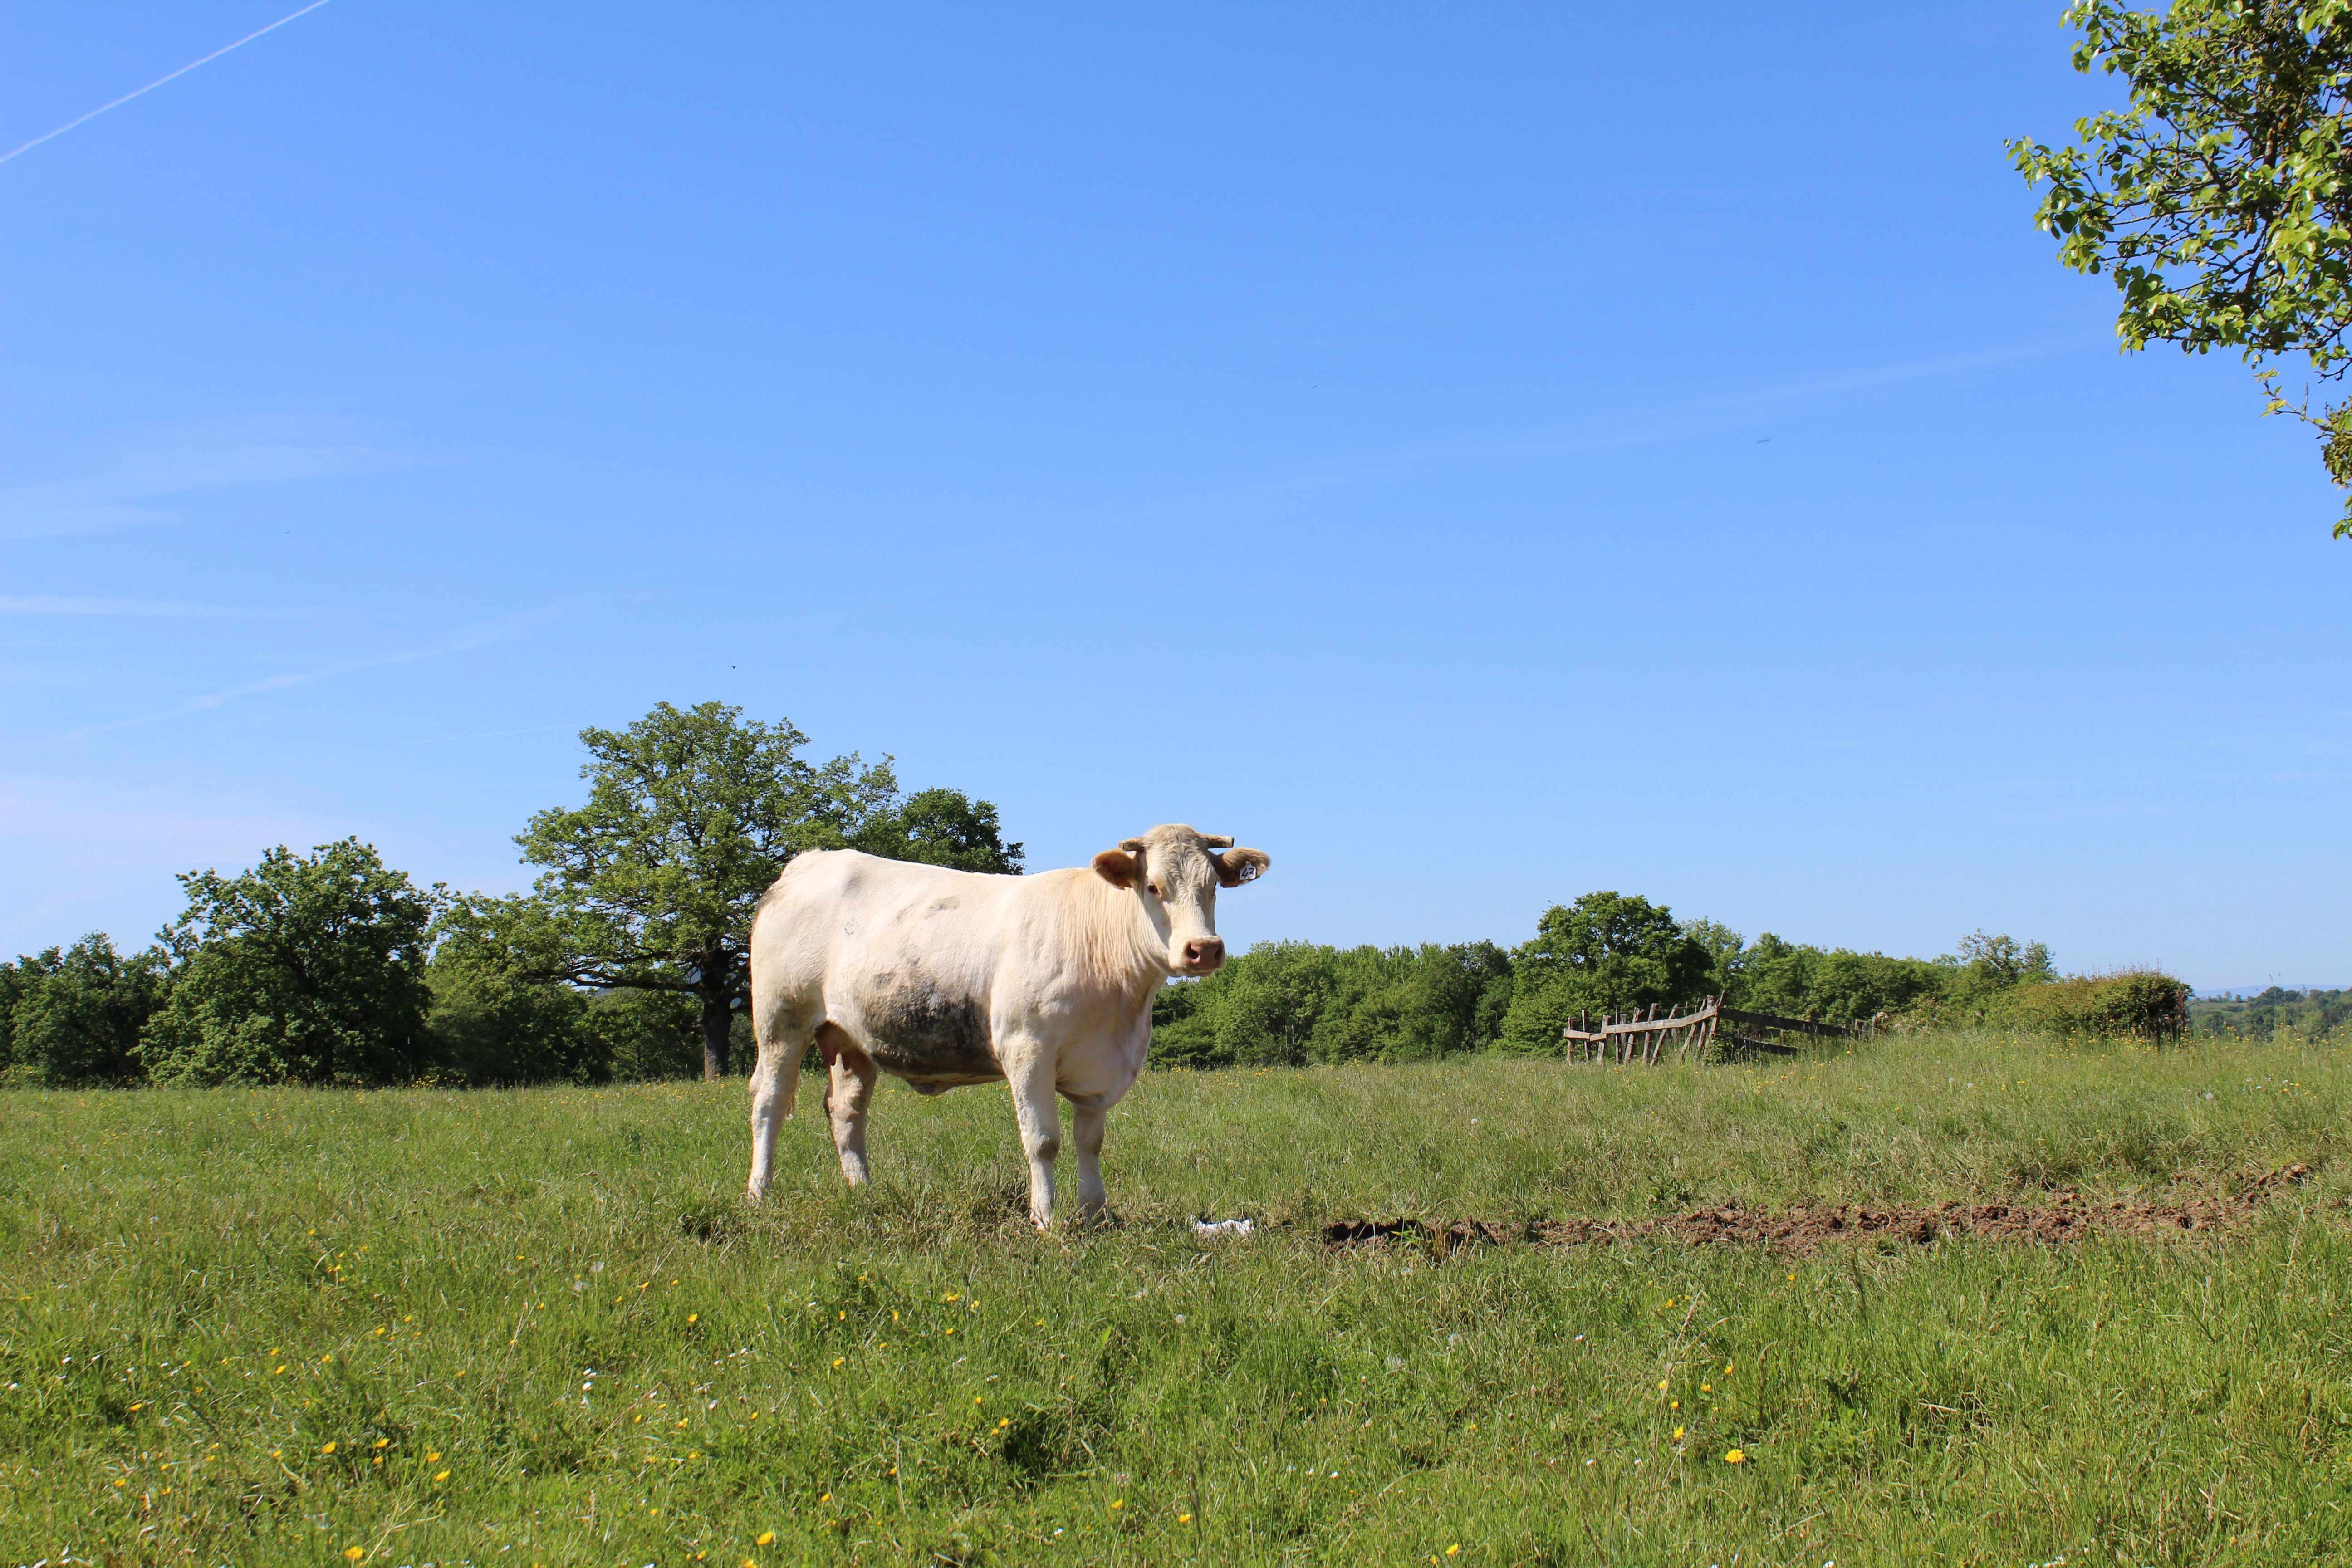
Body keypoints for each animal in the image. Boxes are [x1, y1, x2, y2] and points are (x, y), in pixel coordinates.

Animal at [743, 823, 1270, 1227]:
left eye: (1213, 887)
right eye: (1154, 887)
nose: (1203, 950)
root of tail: (810, 861)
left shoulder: (1102, 1066)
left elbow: (1091, 1142)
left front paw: (1097, 1216)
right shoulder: (1027, 1050)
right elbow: (1043, 1141)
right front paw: (1046, 1219)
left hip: (851, 1038)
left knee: (847, 1112)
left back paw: (863, 1193)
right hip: (781, 1019)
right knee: (770, 1102)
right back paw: (759, 1193)